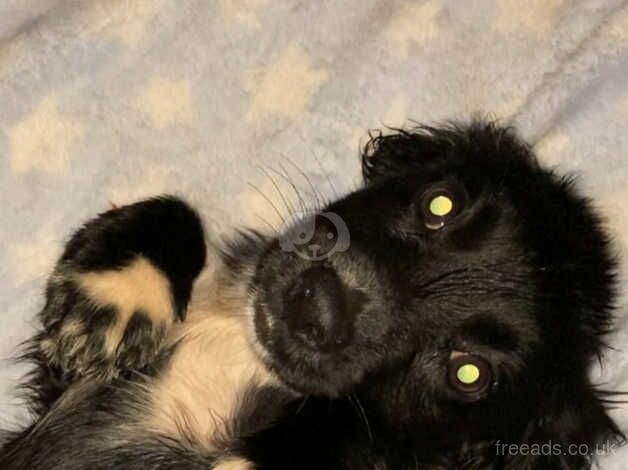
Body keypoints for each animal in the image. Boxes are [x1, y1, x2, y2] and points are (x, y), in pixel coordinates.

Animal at [0, 122, 624, 470]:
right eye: (440, 205)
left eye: (468, 373)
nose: (314, 307)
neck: (246, 359)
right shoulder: (62, 389)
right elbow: (180, 210)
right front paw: (108, 300)